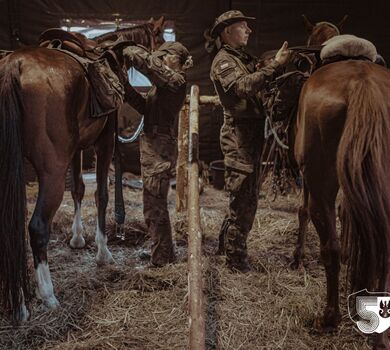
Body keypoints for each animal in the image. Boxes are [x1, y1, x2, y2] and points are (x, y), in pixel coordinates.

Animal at [0, 20, 163, 324]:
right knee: (37, 227)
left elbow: (78, 188)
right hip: (52, 170)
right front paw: (103, 253)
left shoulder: (76, 148)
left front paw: (77, 238)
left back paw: (19, 305)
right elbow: (101, 195)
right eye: (160, 40)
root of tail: (13, 66)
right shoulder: (105, 141)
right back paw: (47, 296)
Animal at [294, 15, 390, 348]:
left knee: (330, 247)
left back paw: (329, 317)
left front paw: (297, 257)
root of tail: (363, 86)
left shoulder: (308, 177)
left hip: (320, 181)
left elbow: (304, 212)